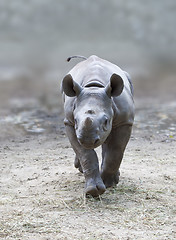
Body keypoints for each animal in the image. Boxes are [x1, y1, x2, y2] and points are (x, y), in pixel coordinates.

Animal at [61, 54, 134, 197]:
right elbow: (85, 154)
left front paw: (108, 183)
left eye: (106, 121)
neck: (94, 88)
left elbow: (116, 150)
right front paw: (93, 191)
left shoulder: (125, 121)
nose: (87, 140)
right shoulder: (69, 122)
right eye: (76, 121)